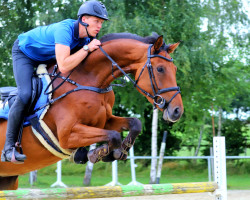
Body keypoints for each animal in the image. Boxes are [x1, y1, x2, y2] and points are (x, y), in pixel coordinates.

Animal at [0, 32, 184, 189]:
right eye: (160, 69)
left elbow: (134, 124)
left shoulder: (105, 121)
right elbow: (113, 136)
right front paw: (97, 154)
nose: (177, 111)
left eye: (175, 69)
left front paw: (118, 151)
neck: (89, 80)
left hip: (8, 179)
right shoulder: (67, 134)